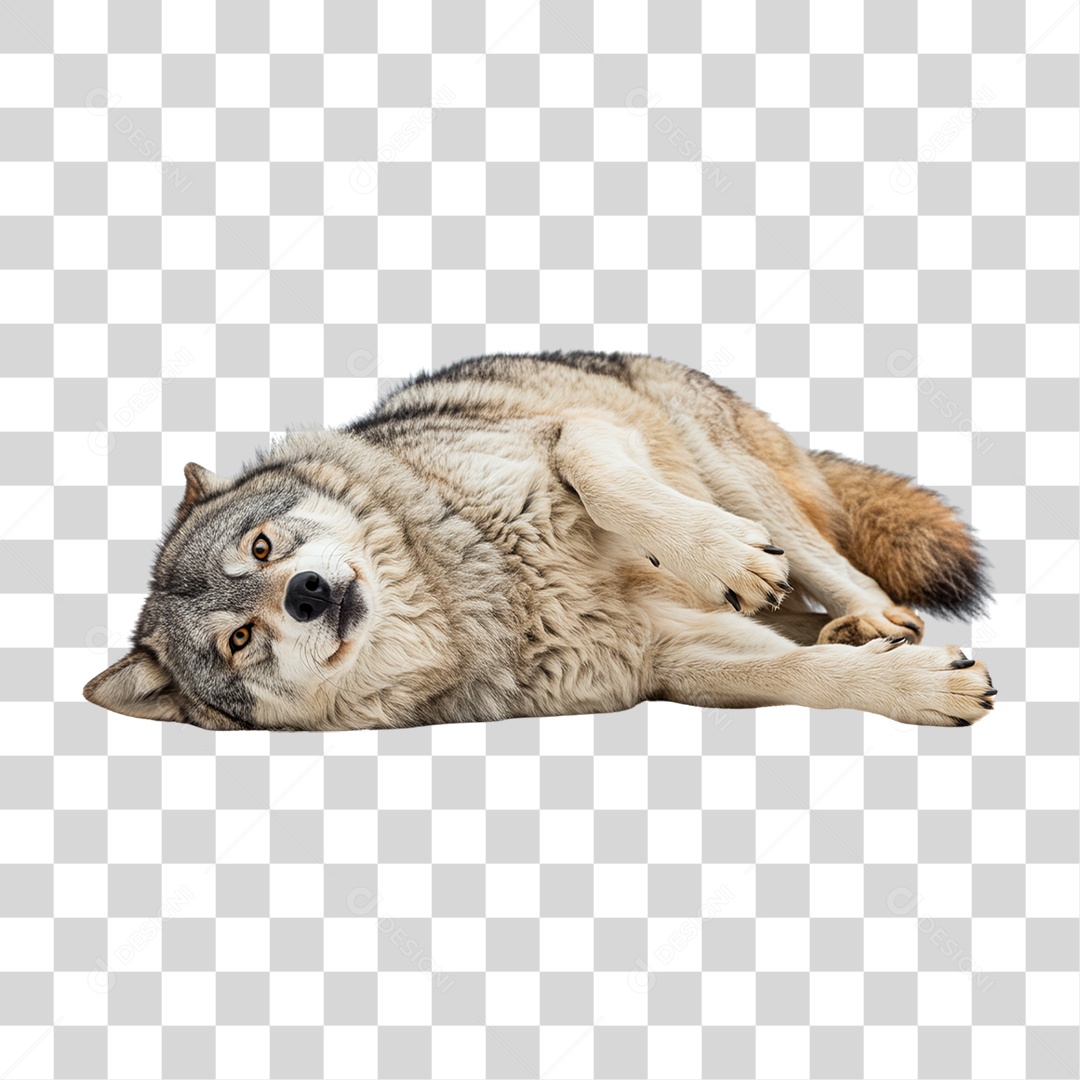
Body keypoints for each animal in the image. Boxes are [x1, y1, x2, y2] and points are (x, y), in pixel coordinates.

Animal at [84, 352, 995, 732]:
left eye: (262, 549)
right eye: (239, 640)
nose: (308, 593)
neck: (485, 591)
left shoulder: (572, 433)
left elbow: (602, 476)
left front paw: (721, 557)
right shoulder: (673, 662)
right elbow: (806, 675)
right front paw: (918, 688)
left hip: (728, 471)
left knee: (826, 563)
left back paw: (868, 616)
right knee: (807, 625)